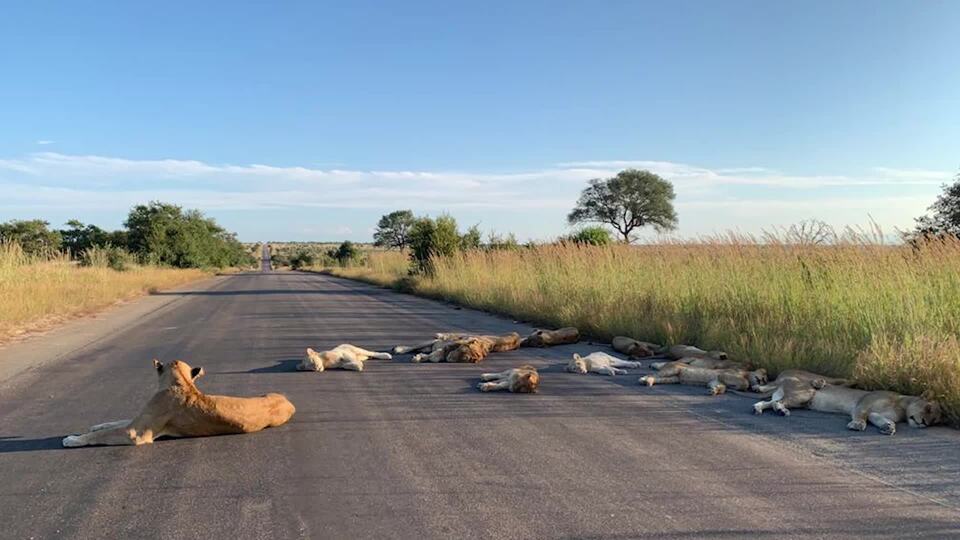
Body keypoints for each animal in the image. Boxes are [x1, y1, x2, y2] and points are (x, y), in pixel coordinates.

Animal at [62, 359, 295, 447]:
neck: (182, 383)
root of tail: (288, 401)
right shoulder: (138, 420)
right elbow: (114, 423)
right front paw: (96, 425)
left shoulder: (137, 433)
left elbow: (103, 434)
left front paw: (72, 439)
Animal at [639, 361, 767, 395]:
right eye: (763, 378)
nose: (761, 381)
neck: (746, 373)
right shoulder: (724, 374)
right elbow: (745, 383)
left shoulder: (715, 381)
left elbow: (722, 388)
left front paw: (714, 391)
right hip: (673, 369)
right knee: (653, 374)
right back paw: (643, 379)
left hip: (673, 378)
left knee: (657, 378)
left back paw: (648, 382)